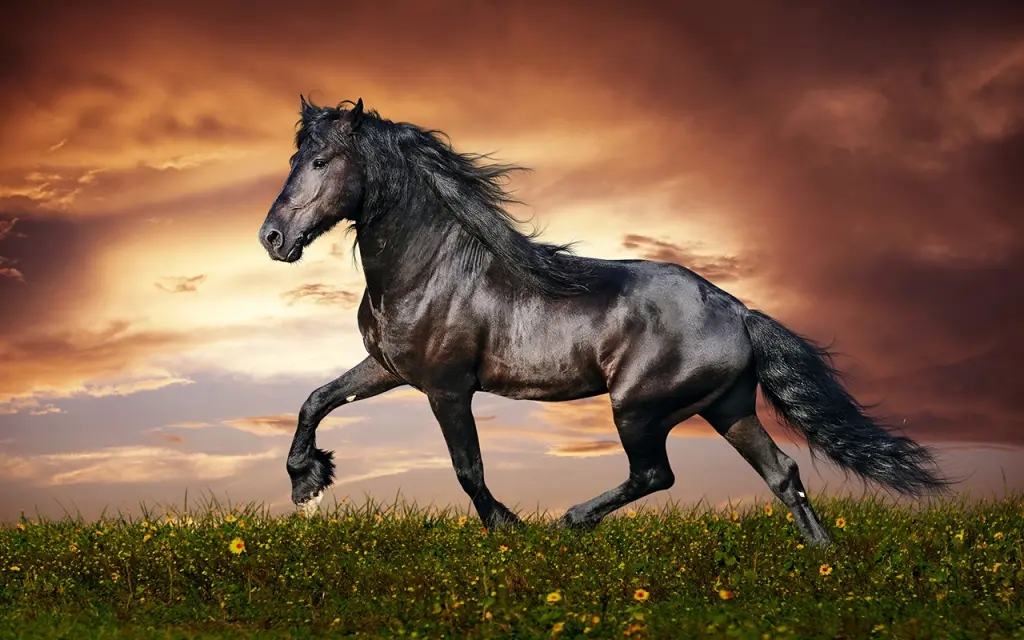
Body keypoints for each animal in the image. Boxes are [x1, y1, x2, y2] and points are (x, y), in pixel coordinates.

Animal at [258, 96, 951, 548]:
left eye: (322, 162)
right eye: (295, 158)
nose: (272, 238)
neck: (432, 268)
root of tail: (737, 310)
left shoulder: (446, 387)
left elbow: (468, 469)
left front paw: (509, 529)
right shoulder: (389, 367)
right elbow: (316, 399)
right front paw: (306, 482)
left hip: (638, 407)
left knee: (655, 474)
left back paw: (570, 521)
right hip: (727, 407)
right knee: (782, 474)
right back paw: (824, 563)